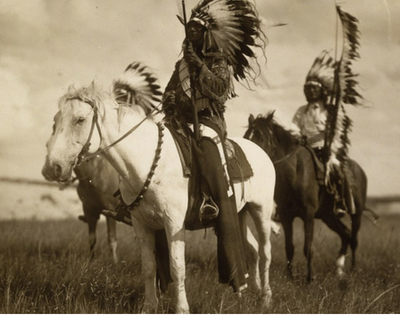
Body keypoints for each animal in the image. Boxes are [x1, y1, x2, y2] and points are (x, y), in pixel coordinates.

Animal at [42, 82, 276, 314]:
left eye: (80, 119)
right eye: (55, 120)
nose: (52, 168)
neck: (147, 162)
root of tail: (261, 152)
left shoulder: (173, 224)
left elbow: (177, 268)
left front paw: (182, 309)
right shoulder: (142, 225)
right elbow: (148, 267)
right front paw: (149, 306)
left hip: (261, 211)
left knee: (265, 252)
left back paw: (265, 298)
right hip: (240, 213)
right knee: (252, 249)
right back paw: (251, 291)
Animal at [245, 111, 370, 282]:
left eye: (261, 137)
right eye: (246, 136)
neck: (295, 172)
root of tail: (360, 171)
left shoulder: (308, 214)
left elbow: (308, 248)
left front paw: (310, 279)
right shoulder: (286, 216)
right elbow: (289, 247)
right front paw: (290, 277)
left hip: (356, 214)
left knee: (354, 239)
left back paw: (353, 269)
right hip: (328, 216)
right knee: (346, 234)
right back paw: (339, 270)